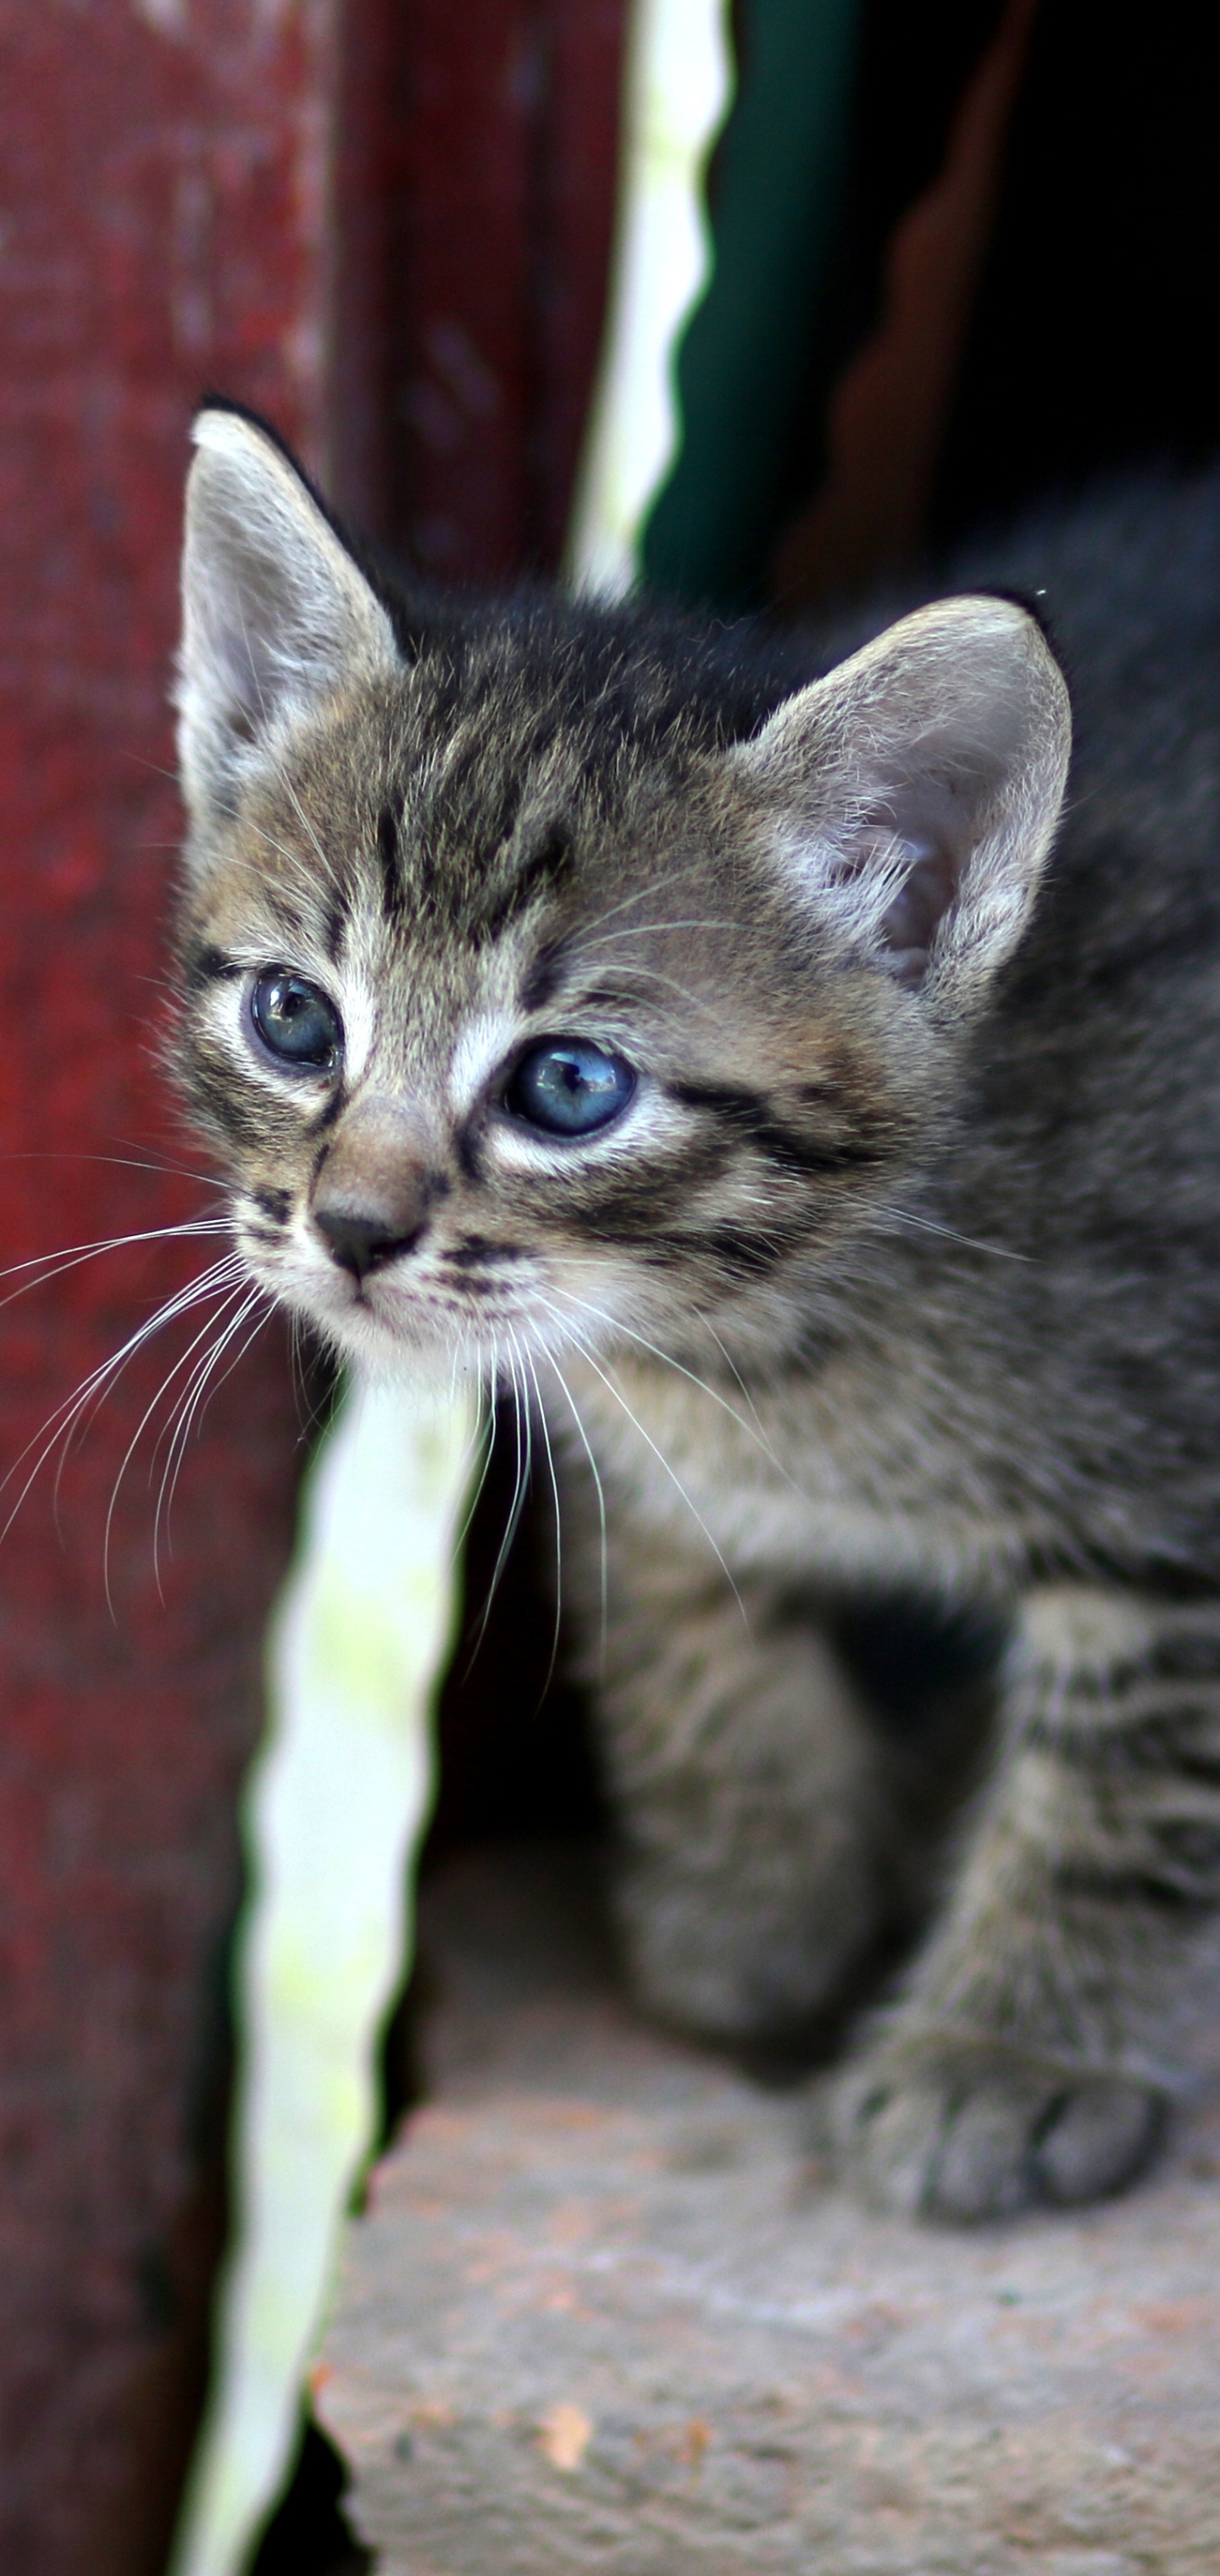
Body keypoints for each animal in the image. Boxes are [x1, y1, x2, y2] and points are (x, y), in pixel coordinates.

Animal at [174, 397, 1220, 2215]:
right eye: (298, 1020)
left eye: (569, 1086)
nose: (351, 1228)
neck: (765, 1337)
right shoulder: (646, 1452)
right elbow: (689, 1633)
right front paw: (757, 1915)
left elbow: (1128, 1784)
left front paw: (1015, 2051)